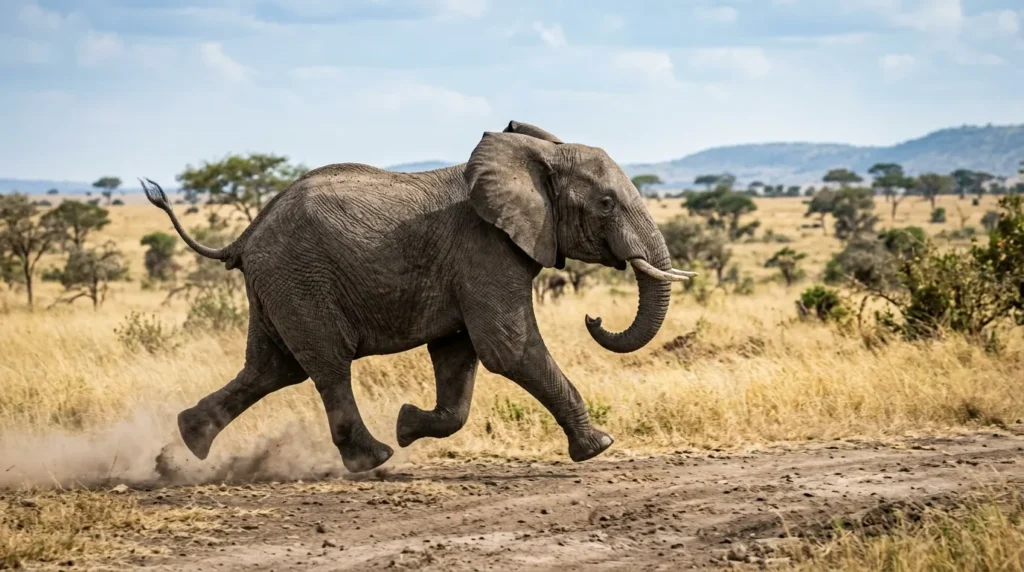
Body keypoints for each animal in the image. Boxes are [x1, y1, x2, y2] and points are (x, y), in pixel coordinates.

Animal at [139, 120, 695, 474]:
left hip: (275, 285)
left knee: (272, 368)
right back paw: (374, 459)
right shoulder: (484, 249)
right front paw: (599, 446)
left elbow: (458, 357)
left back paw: (184, 448)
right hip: (298, 280)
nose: (593, 319)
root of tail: (247, 235)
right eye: (606, 204)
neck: (537, 156)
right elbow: (507, 347)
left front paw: (409, 423)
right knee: (326, 366)